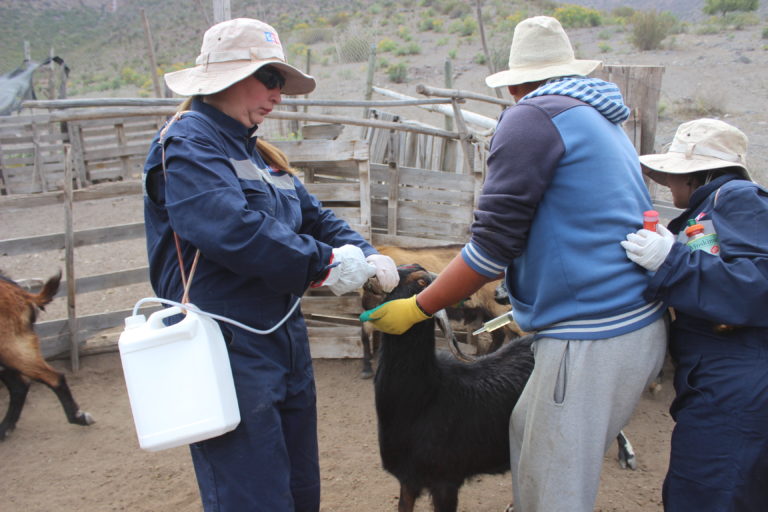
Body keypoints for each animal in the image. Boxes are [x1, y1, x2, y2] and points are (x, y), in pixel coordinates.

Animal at [0, 272, 94, 440]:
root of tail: (21, 293)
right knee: (19, 386)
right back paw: (4, 428)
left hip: (9, 348)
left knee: (53, 378)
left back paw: (78, 417)